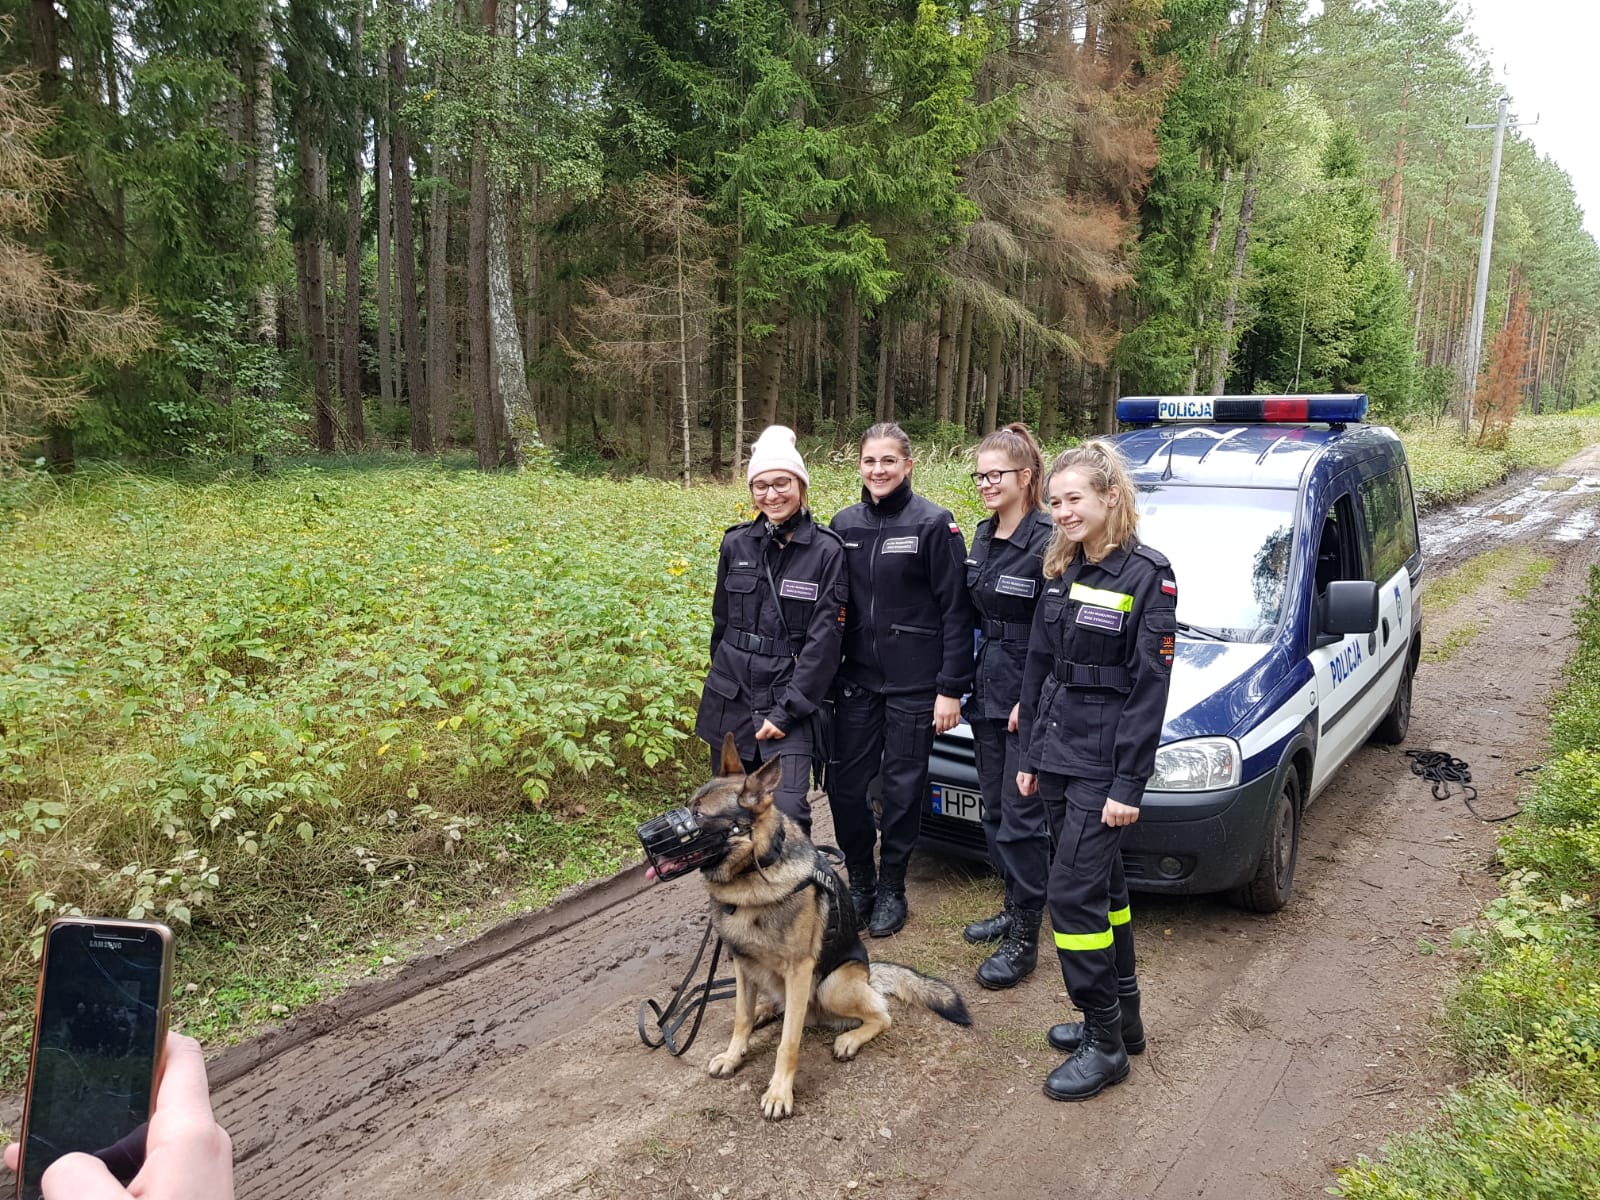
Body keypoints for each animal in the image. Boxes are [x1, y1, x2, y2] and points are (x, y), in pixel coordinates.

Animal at [688, 733, 971, 1120]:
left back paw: (848, 1038)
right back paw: (765, 1010)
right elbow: (740, 1019)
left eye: (698, 817)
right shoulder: (743, 966)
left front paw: (779, 1093)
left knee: (881, 1015)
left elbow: (788, 1041)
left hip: (830, 986)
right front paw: (734, 1055)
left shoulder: (799, 971)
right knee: (775, 1007)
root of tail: (869, 974)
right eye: (686, 809)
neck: (754, 878)